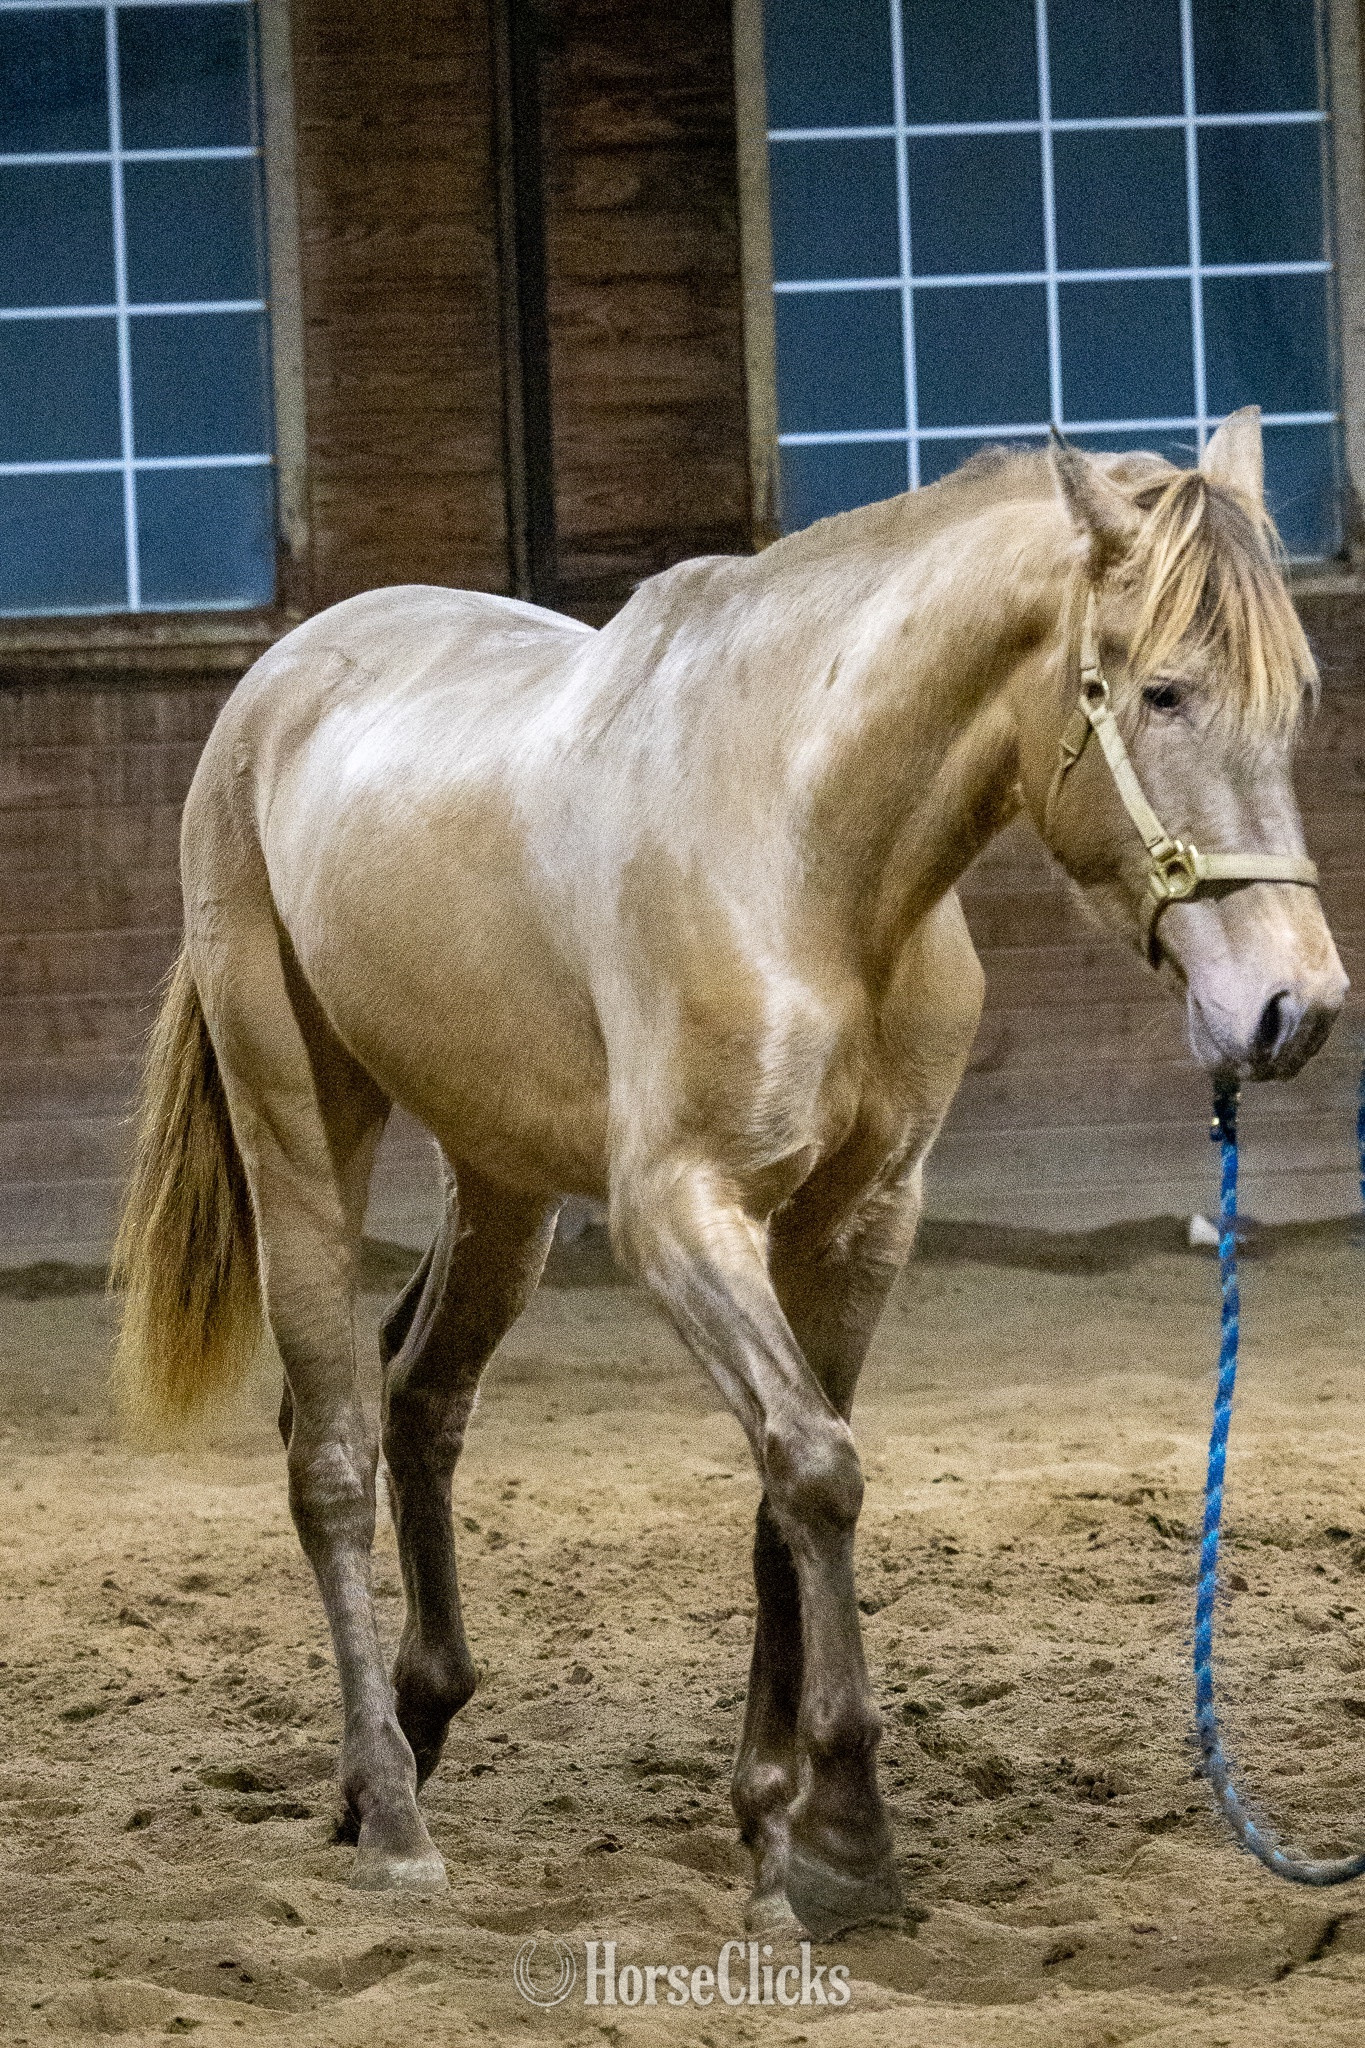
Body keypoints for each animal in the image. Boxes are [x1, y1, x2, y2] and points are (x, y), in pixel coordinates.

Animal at [112, 406, 1347, 1937]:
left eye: (1295, 700)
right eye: (1164, 694)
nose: (1294, 1008)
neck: (807, 853)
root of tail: (279, 683)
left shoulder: (861, 1224)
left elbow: (784, 1492)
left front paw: (774, 1823)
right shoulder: (680, 1215)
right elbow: (814, 1466)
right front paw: (849, 1843)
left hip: (504, 1180)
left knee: (420, 1399)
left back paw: (404, 1734)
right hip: (298, 1130)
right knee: (330, 1450)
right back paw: (395, 1822)